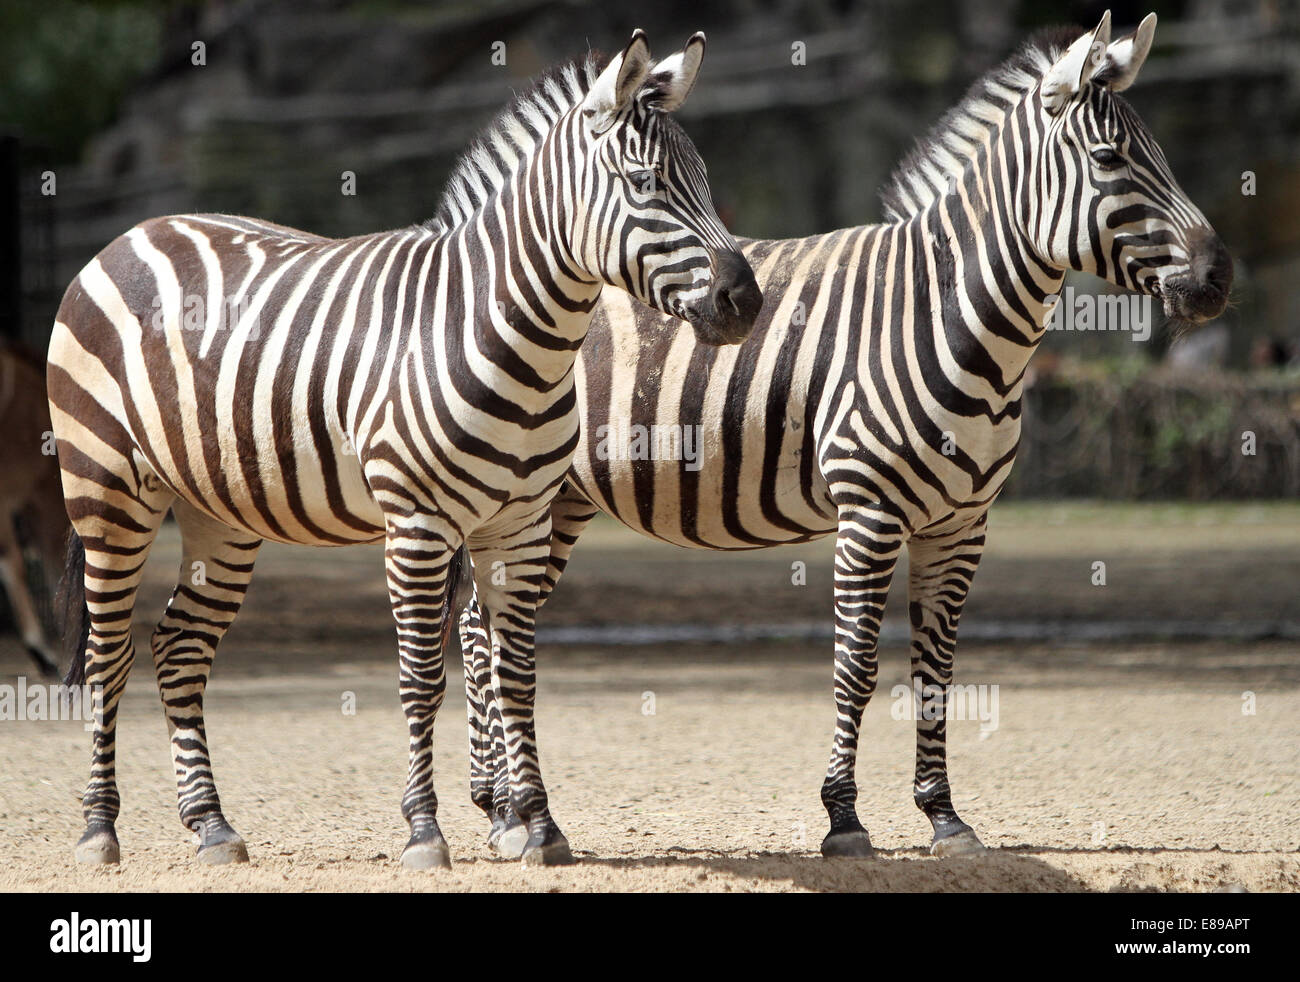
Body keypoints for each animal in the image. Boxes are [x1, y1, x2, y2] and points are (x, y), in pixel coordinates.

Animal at [48, 30, 759, 874]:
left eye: (707, 182)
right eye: (646, 184)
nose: (746, 301)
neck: (505, 332)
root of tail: (133, 233)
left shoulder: (520, 526)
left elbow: (515, 677)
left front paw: (540, 827)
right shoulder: (417, 528)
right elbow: (423, 679)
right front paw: (426, 831)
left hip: (218, 510)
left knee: (178, 646)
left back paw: (211, 826)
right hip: (108, 492)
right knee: (108, 654)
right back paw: (98, 829)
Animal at [457, 13, 1227, 858]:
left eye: (1156, 151)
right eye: (1110, 159)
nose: (1220, 277)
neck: (949, 318)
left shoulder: (962, 525)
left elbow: (936, 673)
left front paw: (943, 815)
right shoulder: (871, 512)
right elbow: (856, 665)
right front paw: (844, 817)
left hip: (549, 499)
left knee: (482, 619)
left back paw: (499, 806)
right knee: (483, 624)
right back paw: (510, 812)